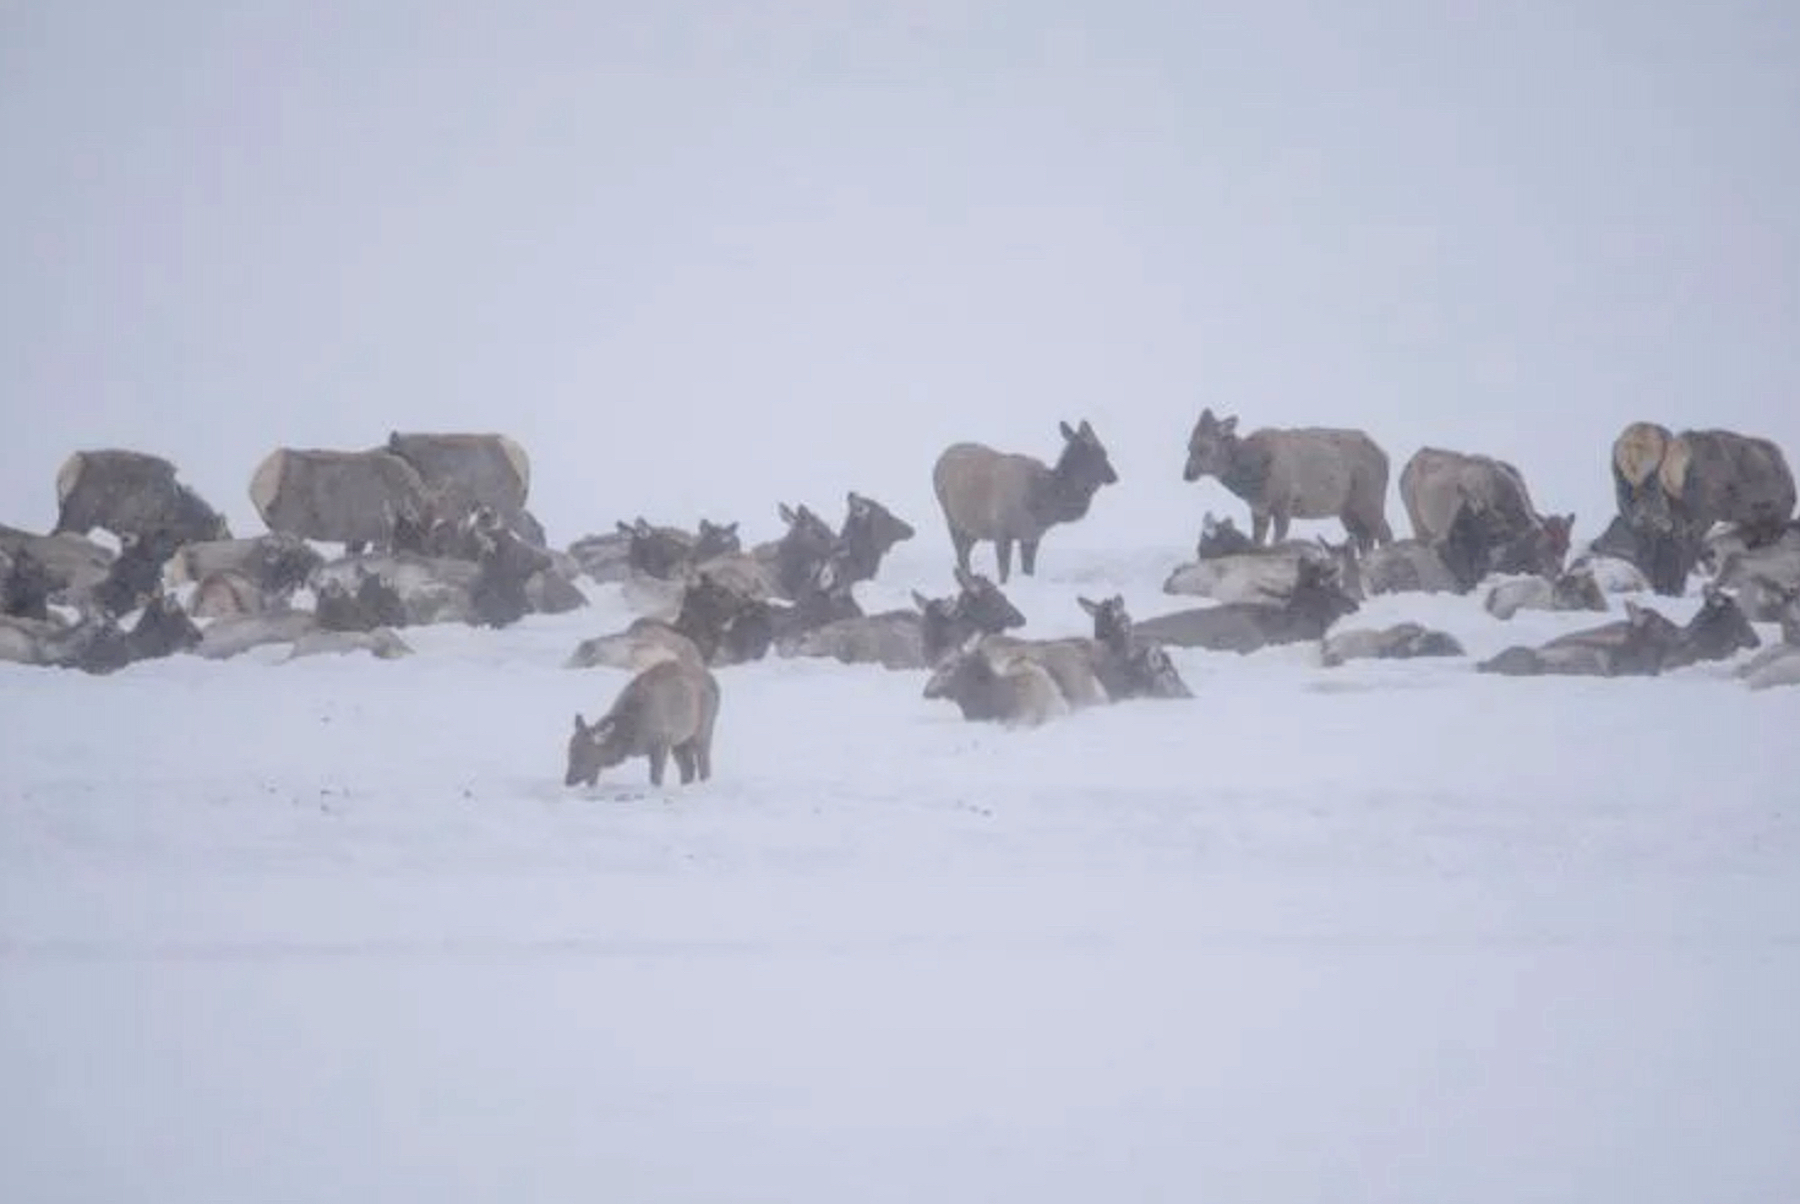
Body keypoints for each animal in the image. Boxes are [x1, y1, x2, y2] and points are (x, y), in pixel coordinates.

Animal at [568, 658, 723, 788]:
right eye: (569, 752)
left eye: (582, 754)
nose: (568, 780)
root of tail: (714, 682)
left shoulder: (661, 741)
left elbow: (655, 777)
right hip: (680, 740)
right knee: (688, 769)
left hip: (704, 728)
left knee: (704, 763)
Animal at [936, 417, 1116, 583]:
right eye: (1100, 453)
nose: (1114, 476)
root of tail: (940, 458)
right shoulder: (1001, 530)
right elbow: (1004, 572)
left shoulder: (1032, 535)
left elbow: (1028, 570)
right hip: (951, 518)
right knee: (962, 555)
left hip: (972, 527)